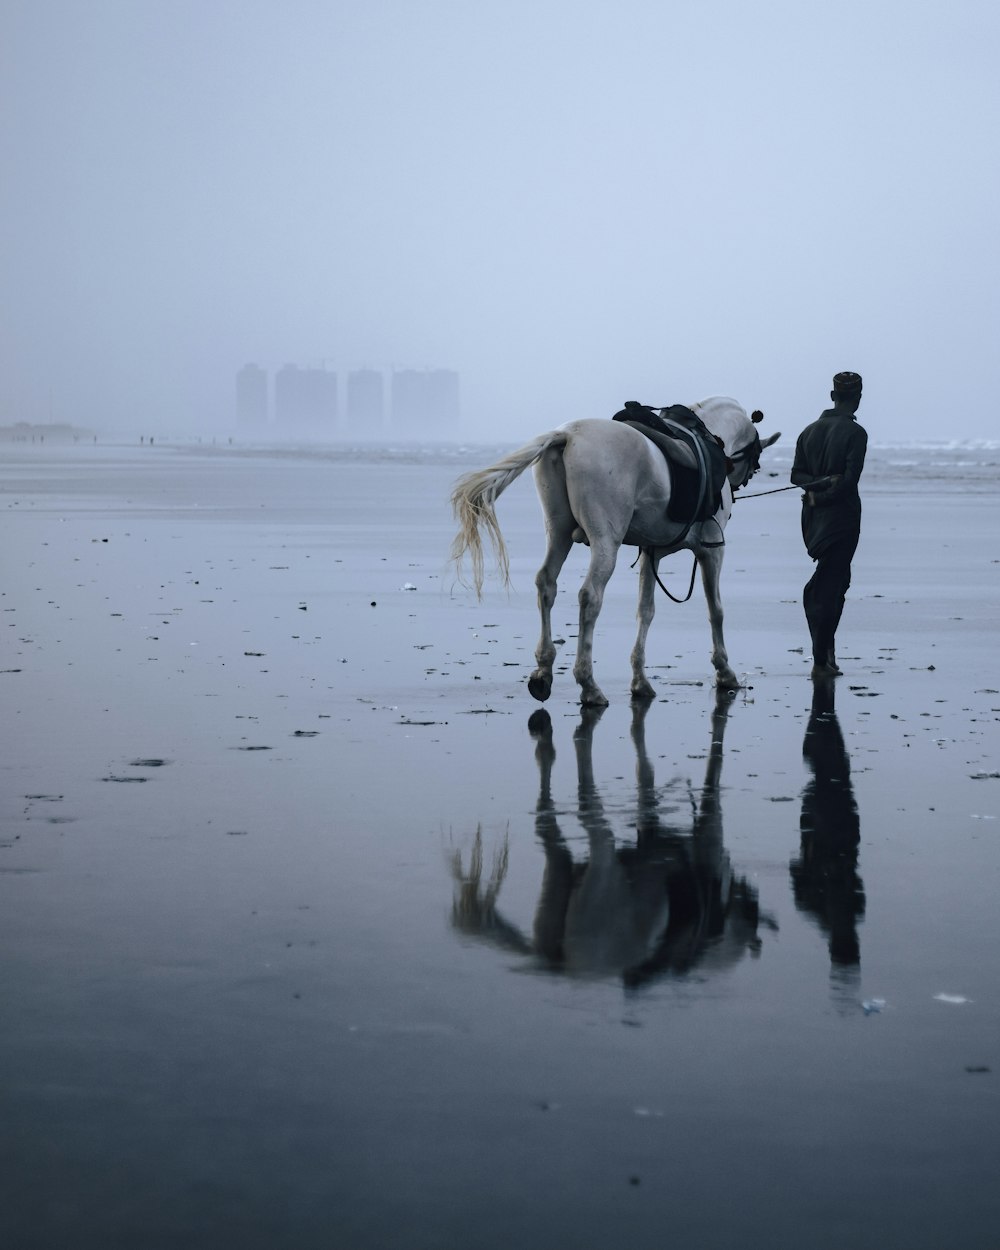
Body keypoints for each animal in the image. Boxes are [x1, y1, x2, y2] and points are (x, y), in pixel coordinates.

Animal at [450, 397, 775, 705]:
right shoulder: (711, 551)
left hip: (557, 532)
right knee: (590, 596)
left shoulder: (651, 553)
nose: (742, 481)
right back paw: (588, 683)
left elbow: (645, 611)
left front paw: (640, 680)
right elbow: (715, 610)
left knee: (546, 583)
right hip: (606, 540)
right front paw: (724, 672)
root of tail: (567, 434)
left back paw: (543, 670)